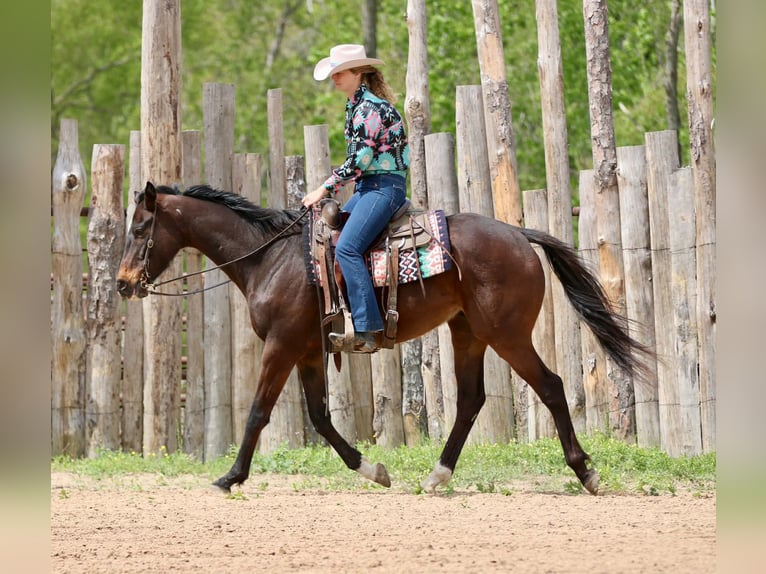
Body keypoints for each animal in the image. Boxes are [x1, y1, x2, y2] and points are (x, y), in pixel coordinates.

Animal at [117, 181, 653, 495]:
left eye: (141, 228)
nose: (122, 284)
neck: (271, 257)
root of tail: (520, 236)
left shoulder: (281, 347)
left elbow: (257, 413)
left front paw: (230, 477)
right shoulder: (308, 352)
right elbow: (320, 418)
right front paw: (372, 469)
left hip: (508, 335)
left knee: (551, 387)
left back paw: (585, 472)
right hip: (468, 333)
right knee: (470, 400)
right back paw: (438, 475)